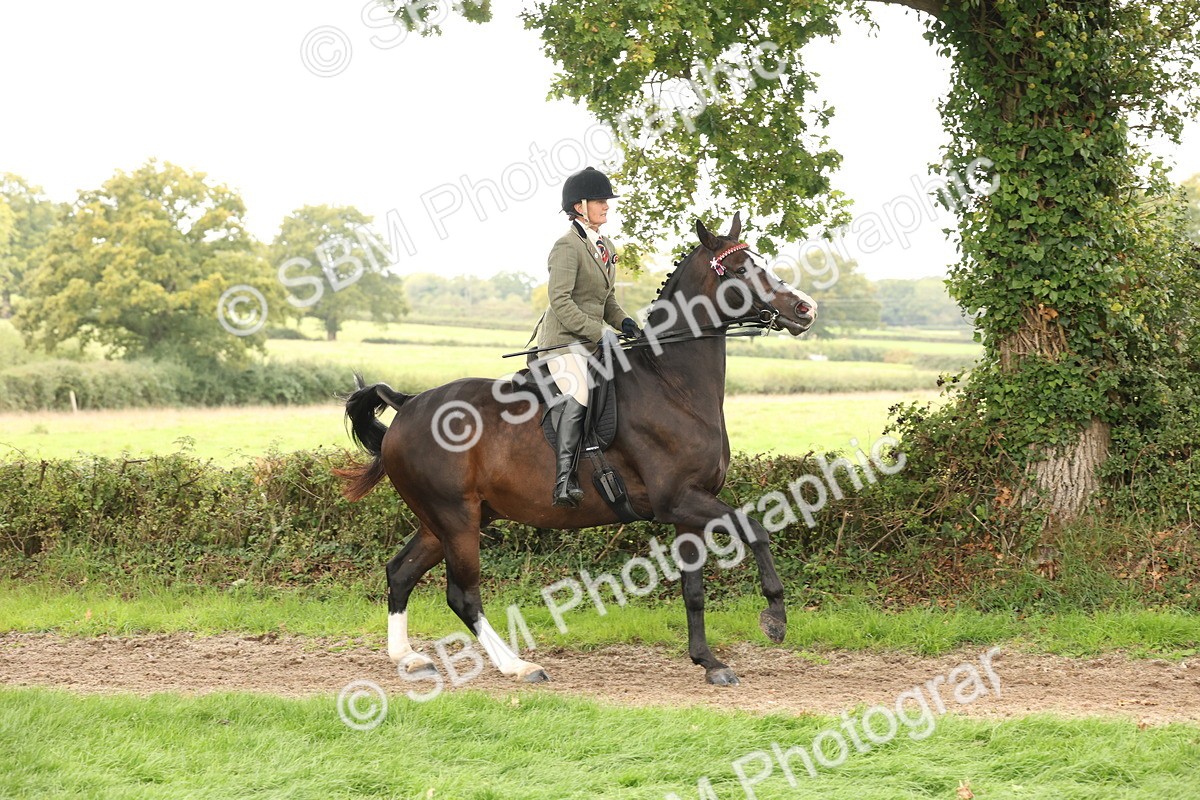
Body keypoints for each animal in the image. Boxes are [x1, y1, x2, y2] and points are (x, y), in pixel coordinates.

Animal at [336, 213, 817, 686]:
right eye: (740, 270)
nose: (805, 309)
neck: (672, 383)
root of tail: (409, 403)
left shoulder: (689, 510)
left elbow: (693, 590)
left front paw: (709, 662)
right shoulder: (679, 499)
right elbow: (756, 529)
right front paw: (774, 619)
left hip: (448, 519)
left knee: (400, 572)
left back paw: (408, 658)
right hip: (456, 519)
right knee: (462, 595)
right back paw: (518, 666)